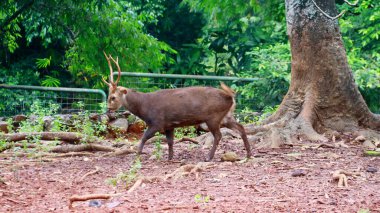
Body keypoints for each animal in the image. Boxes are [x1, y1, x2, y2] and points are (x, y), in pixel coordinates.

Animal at [101, 52, 252, 161]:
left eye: (113, 97)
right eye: (108, 96)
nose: (108, 109)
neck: (144, 108)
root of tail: (230, 97)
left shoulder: (157, 122)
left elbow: (143, 137)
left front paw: (137, 156)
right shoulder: (169, 125)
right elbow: (170, 141)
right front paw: (170, 157)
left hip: (213, 117)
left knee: (219, 135)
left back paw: (208, 157)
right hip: (226, 116)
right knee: (241, 128)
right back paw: (249, 154)